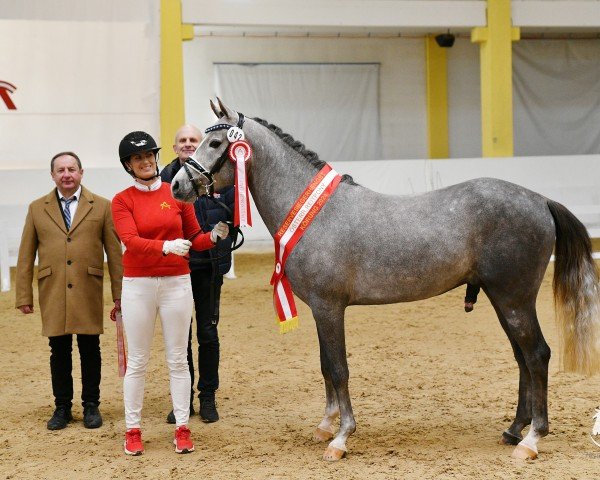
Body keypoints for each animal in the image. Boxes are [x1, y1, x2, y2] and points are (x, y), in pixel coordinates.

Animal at [170, 100, 600, 462]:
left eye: (215, 142)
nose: (177, 186)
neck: (314, 213)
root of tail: (540, 200)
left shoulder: (330, 307)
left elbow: (339, 369)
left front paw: (341, 437)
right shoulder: (321, 310)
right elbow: (325, 366)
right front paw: (325, 426)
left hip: (514, 299)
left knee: (537, 355)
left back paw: (532, 440)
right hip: (503, 299)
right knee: (522, 358)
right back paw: (514, 430)